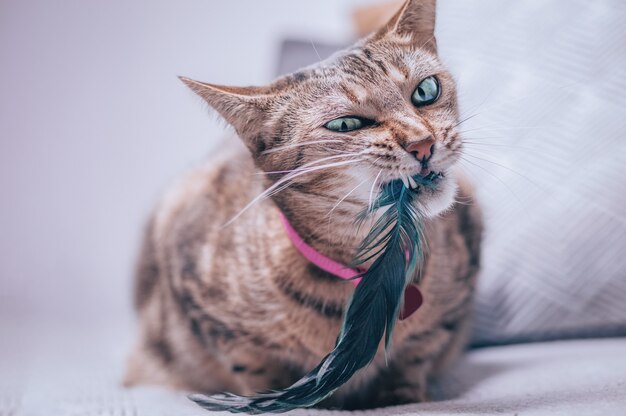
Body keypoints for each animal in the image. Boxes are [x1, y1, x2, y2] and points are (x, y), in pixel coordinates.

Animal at [123, 0, 482, 410]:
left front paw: (401, 394)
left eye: (425, 90)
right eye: (346, 124)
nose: (423, 143)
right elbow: (252, 364)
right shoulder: (207, 306)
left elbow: (420, 348)